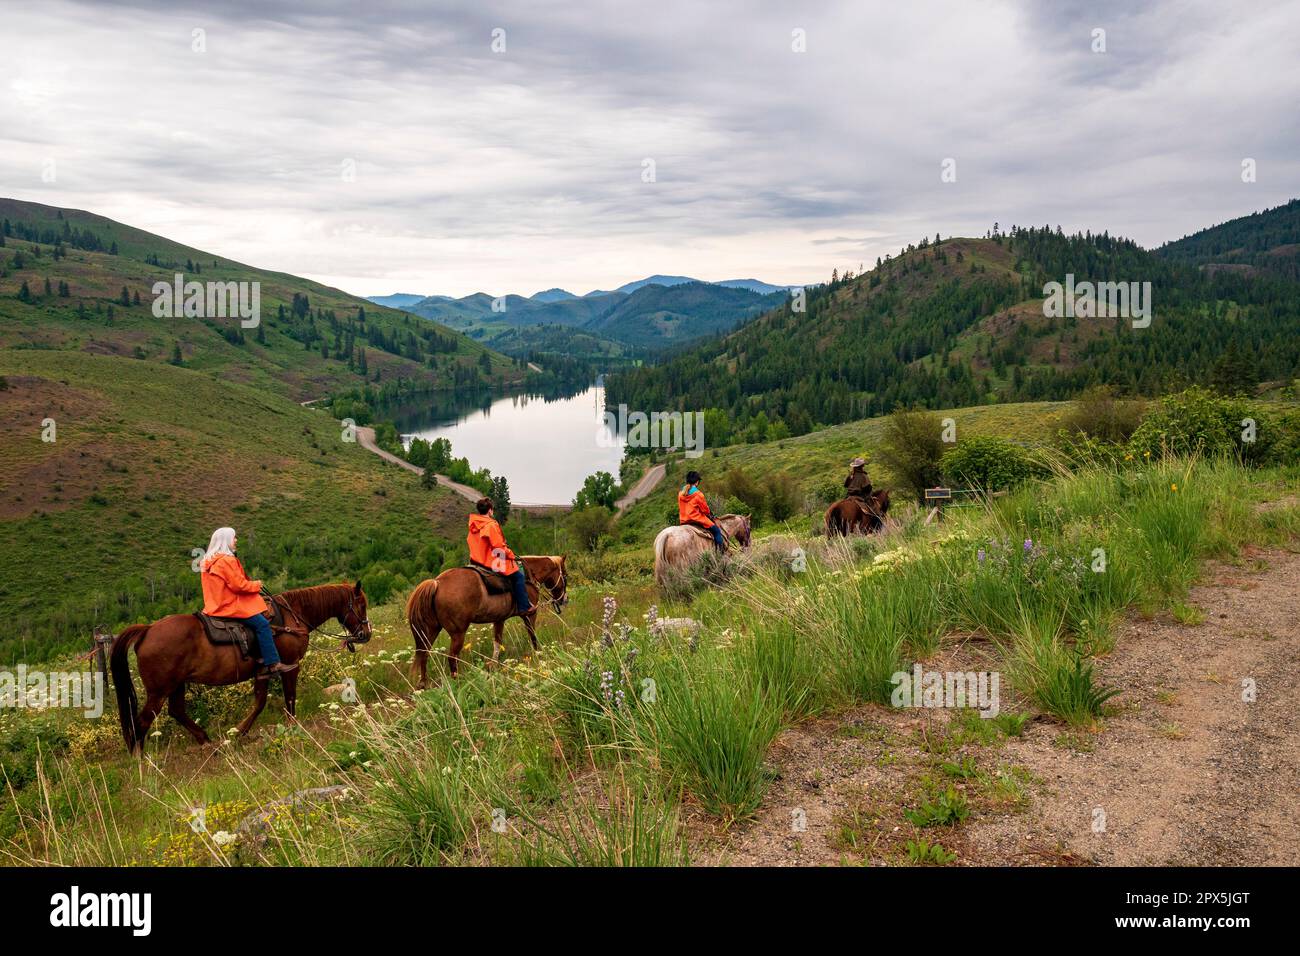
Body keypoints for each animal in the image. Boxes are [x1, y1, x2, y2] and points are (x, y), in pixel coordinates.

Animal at [107, 582, 374, 754]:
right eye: (361, 605)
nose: (366, 633)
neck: (293, 616)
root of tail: (147, 631)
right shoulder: (290, 666)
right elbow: (288, 698)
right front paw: (291, 727)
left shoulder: (263, 672)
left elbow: (259, 702)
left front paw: (239, 732)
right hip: (159, 690)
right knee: (142, 721)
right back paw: (141, 760)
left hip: (176, 685)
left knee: (177, 711)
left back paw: (205, 740)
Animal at [405, 554, 569, 686]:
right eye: (566, 576)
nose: (564, 600)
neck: (529, 575)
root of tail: (437, 582)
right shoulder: (530, 614)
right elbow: (533, 636)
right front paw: (539, 654)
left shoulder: (499, 619)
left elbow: (497, 643)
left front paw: (493, 665)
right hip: (458, 633)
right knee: (452, 658)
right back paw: (457, 682)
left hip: (431, 630)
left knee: (424, 654)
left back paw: (423, 684)